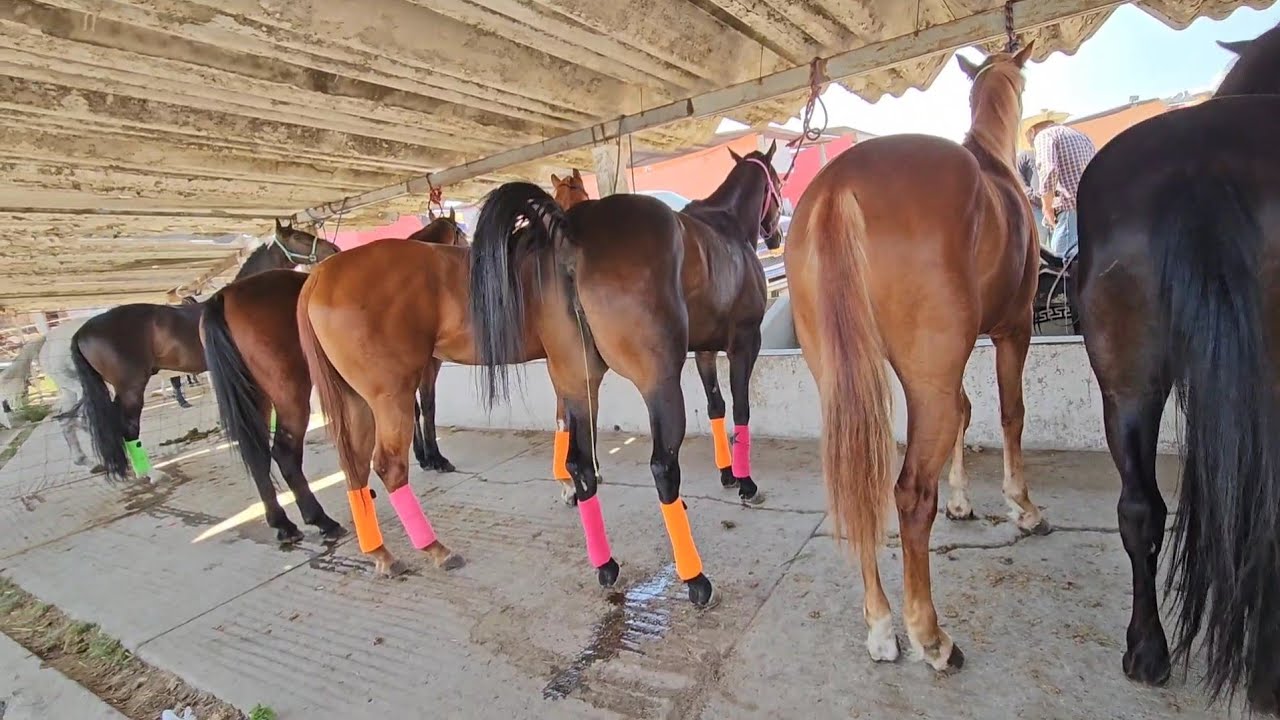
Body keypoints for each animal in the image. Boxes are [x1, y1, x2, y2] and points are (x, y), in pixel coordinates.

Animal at [71, 219, 337, 483]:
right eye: (298, 237)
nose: (332, 248)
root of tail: (82, 331)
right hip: (131, 388)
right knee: (128, 428)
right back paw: (152, 474)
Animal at [201, 213, 467, 545]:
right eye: (460, 234)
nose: (332, 248)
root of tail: (222, 297)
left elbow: (415, 410)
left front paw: (422, 456)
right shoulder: (426, 367)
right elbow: (427, 408)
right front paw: (435, 457)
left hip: (256, 398)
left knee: (259, 453)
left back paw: (284, 524)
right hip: (291, 392)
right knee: (284, 452)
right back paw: (321, 520)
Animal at [461, 146, 782, 605]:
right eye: (778, 179)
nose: (776, 232)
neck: (725, 225)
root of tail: (571, 233)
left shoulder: (704, 349)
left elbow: (716, 406)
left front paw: (726, 473)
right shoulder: (744, 342)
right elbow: (740, 408)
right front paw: (744, 482)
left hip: (578, 385)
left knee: (580, 465)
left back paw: (606, 566)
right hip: (658, 382)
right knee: (663, 466)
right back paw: (696, 579)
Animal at [785, 43, 1040, 671]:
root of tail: (837, 187)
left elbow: (969, 412)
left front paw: (962, 501)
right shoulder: (1012, 331)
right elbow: (1009, 415)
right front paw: (1021, 506)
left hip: (844, 381)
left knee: (863, 489)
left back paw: (880, 626)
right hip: (929, 377)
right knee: (908, 494)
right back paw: (929, 635)